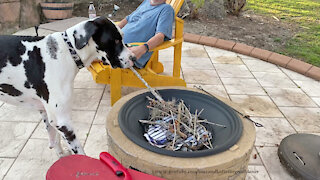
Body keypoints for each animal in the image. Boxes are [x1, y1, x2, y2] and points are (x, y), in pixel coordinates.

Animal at [0, 17, 135, 158]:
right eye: (116, 40)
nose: (134, 58)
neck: (67, 52)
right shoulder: (62, 122)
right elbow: (80, 153)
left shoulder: (47, 114)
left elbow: (55, 139)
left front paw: (61, 156)